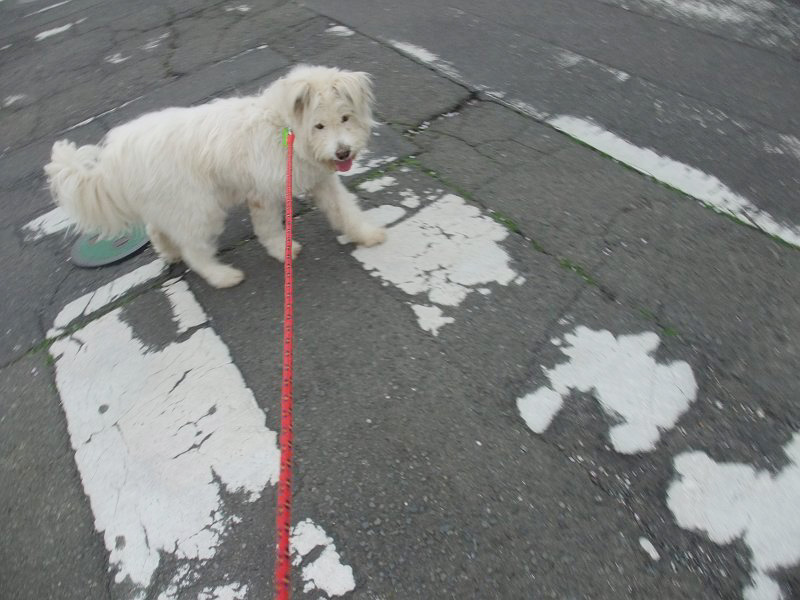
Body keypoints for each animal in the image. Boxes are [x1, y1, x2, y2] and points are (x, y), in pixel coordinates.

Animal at [44, 65, 387, 288]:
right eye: (319, 126)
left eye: (346, 118)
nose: (343, 153)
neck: (285, 129)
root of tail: (114, 158)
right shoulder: (263, 194)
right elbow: (269, 230)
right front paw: (283, 252)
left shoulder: (321, 180)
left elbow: (345, 209)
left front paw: (366, 234)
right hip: (199, 207)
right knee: (194, 251)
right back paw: (222, 277)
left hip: (168, 203)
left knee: (157, 230)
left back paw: (170, 253)